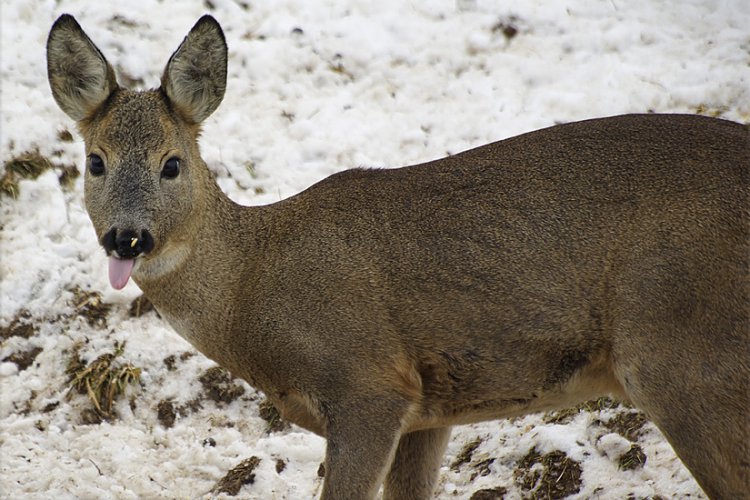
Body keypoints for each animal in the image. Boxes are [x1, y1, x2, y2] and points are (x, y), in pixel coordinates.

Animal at [45, 13, 748, 498]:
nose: (127, 238)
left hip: (682, 351)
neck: (254, 287)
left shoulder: (368, 383)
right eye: (94, 161)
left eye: (172, 163)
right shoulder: (429, 410)